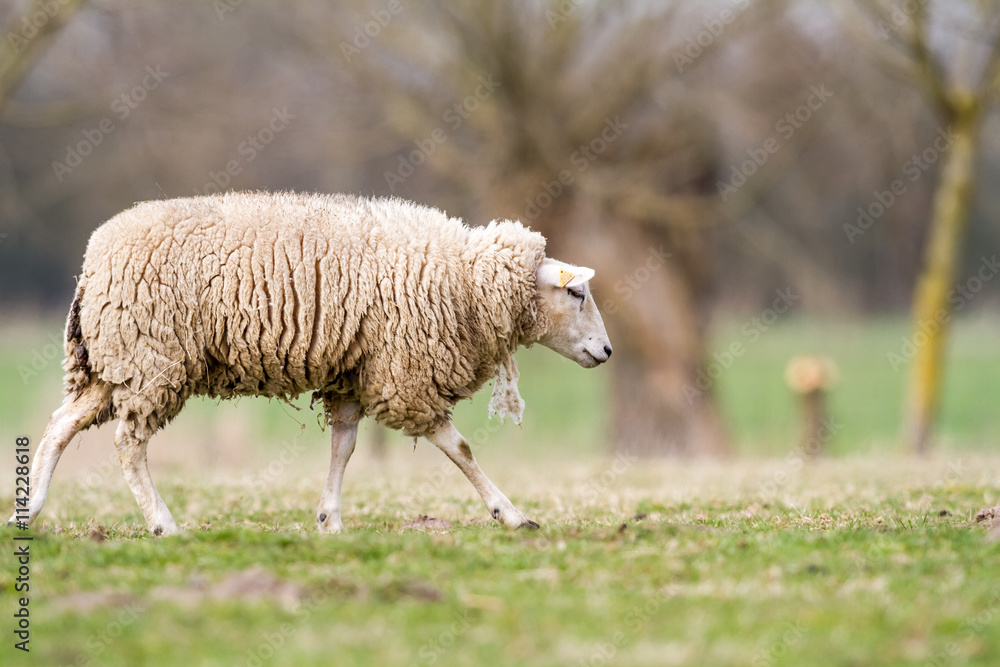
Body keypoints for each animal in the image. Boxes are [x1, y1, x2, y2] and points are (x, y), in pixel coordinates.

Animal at [10, 191, 612, 536]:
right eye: (577, 292)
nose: (607, 352)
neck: (464, 279)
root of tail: (90, 264)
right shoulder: (404, 375)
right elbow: (459, 448)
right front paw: (511, 514)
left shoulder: (353, 373)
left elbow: (343, 447)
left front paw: (330, 519)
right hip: (151, 358)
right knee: (128, 445)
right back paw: (162, 524)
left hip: (114, 364)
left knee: (60, 425)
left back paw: (30, 508)